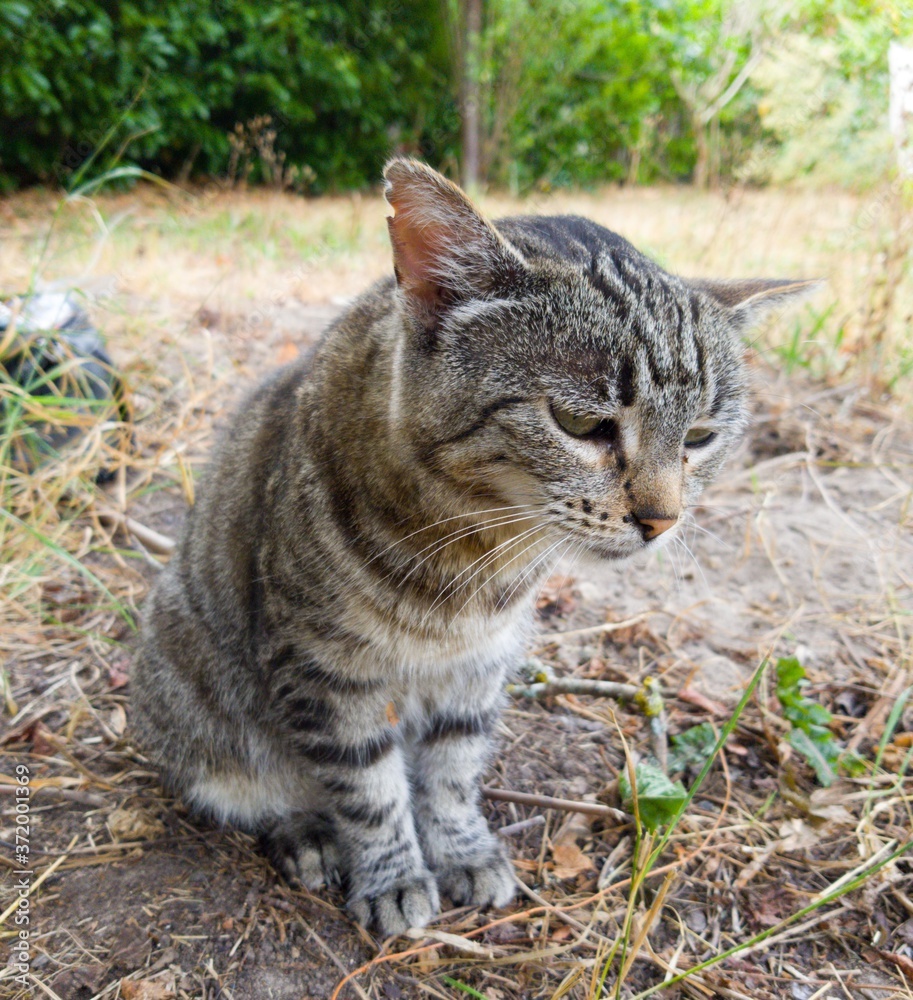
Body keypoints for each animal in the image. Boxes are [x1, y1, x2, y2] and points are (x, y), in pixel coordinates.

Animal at [132, 158, 816, 936]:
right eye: (580, 424)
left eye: (700, 438)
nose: (661, 519)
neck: (479, 555)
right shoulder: (324, 668)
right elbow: (368, 789)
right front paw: (393, 874)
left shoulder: (478, 666)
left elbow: (452, 772)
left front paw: (459, 849)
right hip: (192, 683)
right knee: (252, 785)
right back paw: (305, 832)